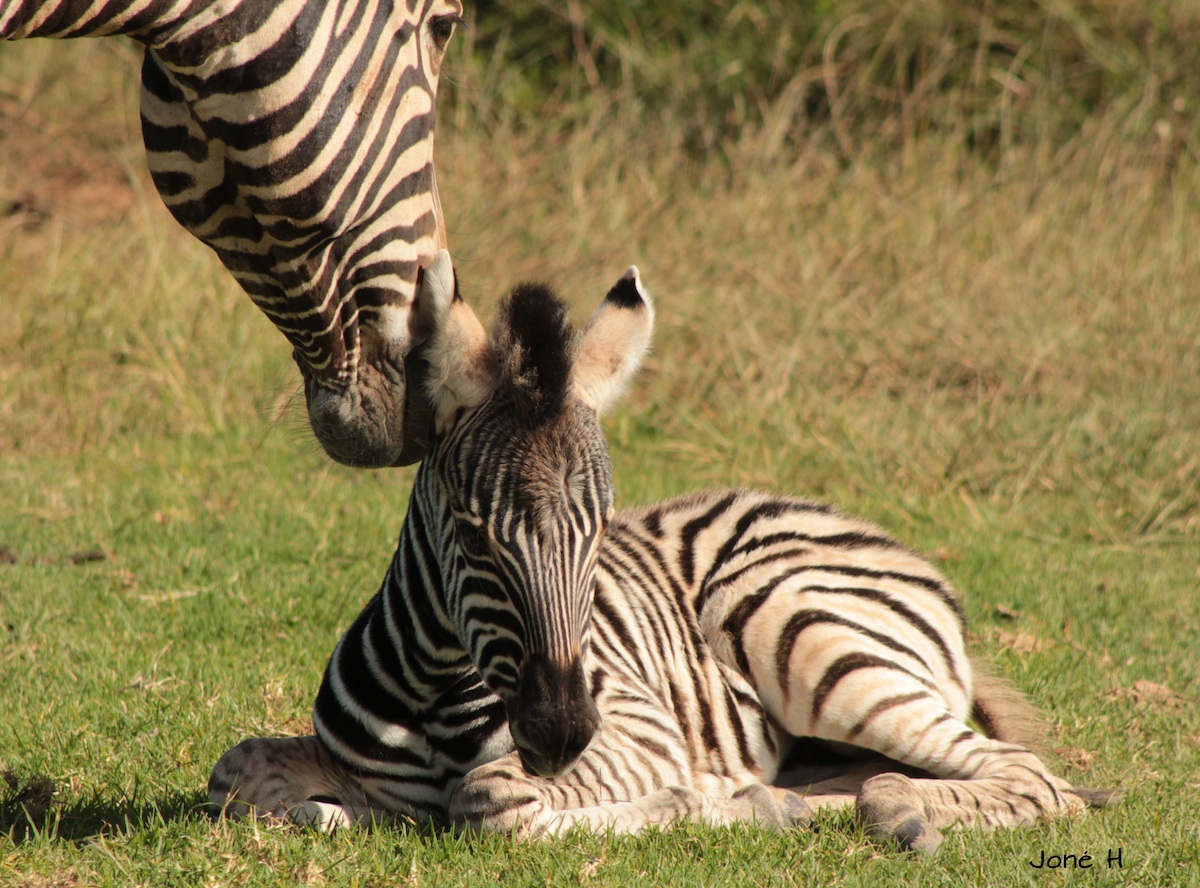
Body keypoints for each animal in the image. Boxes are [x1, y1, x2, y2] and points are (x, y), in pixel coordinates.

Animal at [208, 253, 1104, 849]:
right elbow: (237, 773)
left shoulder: (640, 737)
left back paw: (887, 810)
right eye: (470, 531)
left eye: (601, 531)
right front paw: (329, 808)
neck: (432, 690)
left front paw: (689, 802)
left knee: (1029, 774)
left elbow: (494, 801)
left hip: (804, 632)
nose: (565, 733)